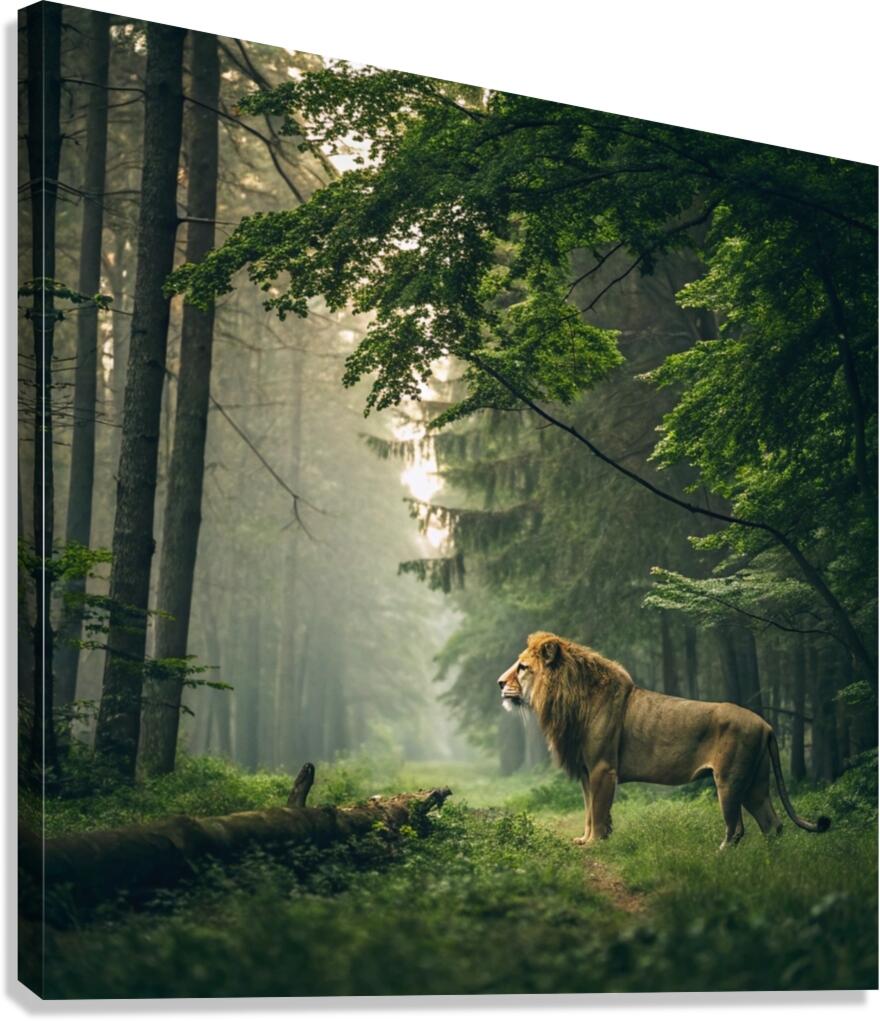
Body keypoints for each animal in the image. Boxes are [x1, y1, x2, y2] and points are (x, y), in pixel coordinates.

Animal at [497, 631, 830, 848]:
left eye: (523, 667)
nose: (499, 683)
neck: (567, 697)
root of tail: (766, 724)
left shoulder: (603, 768)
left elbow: (599, 811)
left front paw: (595, 843)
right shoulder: (586, 772)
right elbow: (590, 811)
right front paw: (585, 838)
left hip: (730, 781)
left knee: (737, 828)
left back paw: (719, 855)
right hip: (755, 784)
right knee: (772, 824)